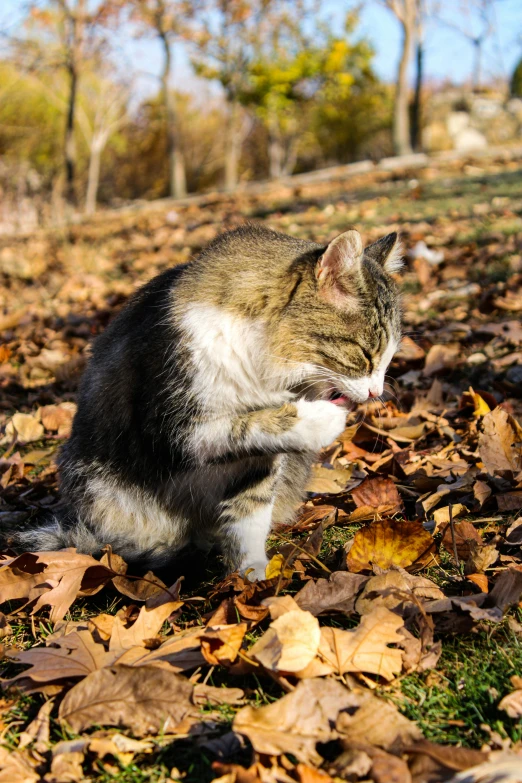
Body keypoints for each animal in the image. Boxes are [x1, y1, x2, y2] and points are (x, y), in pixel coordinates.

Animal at [14, 224, 400, 580]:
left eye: (390, 358)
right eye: (365, 354)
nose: (375, 393)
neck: (261, 364)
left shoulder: (259, 462)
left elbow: (249, 513)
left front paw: (251, 578)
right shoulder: (170, 427)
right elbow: (245, 424)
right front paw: (322, 419)